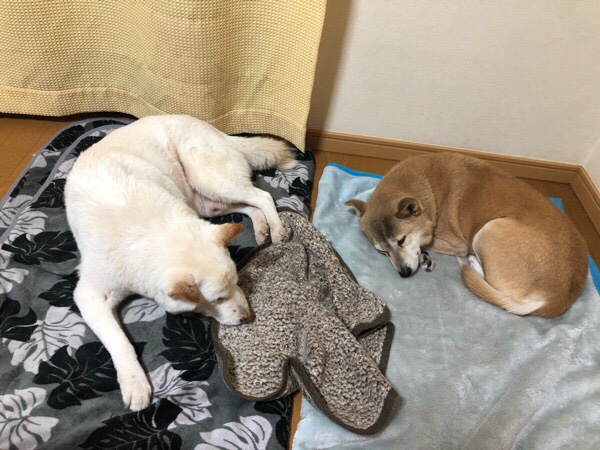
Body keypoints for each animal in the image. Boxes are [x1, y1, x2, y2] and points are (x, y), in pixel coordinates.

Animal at [65, 114, 295, 410]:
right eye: (218, 299)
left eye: (238, 282)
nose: (249, 317)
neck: (148, 230)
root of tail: (218, 132)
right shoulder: (90, 295)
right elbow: (119, 341)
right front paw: (134, 382)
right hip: (209, 203)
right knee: (250, 205)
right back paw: (262, 228)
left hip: (208, 179)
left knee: (261, 196)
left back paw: (276, 229)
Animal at [346, 153, 588, 318]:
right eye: (382, 251)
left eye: (401, 240)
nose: (404, 274)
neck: (429, 188)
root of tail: (560, 297)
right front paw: (423, 257)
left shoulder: (456, 244)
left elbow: (429, 243)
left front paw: (424, 252)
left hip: (487, 231)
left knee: (490, 282)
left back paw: (472, 263)